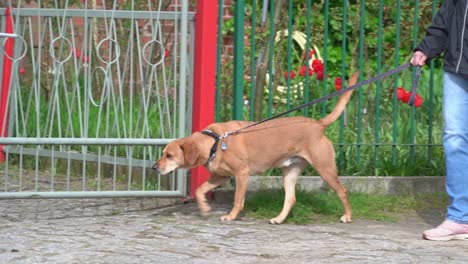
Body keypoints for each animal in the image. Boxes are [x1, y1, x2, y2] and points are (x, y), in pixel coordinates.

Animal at [154, 72, 358, 225]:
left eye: (169, 155)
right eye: (163, 154)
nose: (154, 167)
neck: (216, 142)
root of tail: (318, 124)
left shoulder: (241, 173)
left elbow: (238, 200)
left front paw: (231, 216)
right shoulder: (220, 176)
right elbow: (199, 190)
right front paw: (204, 208)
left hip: (325, 169)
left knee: (343, 191)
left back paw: (348, 216)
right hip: (290, 172)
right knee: (291, 199)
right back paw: (279, 219)